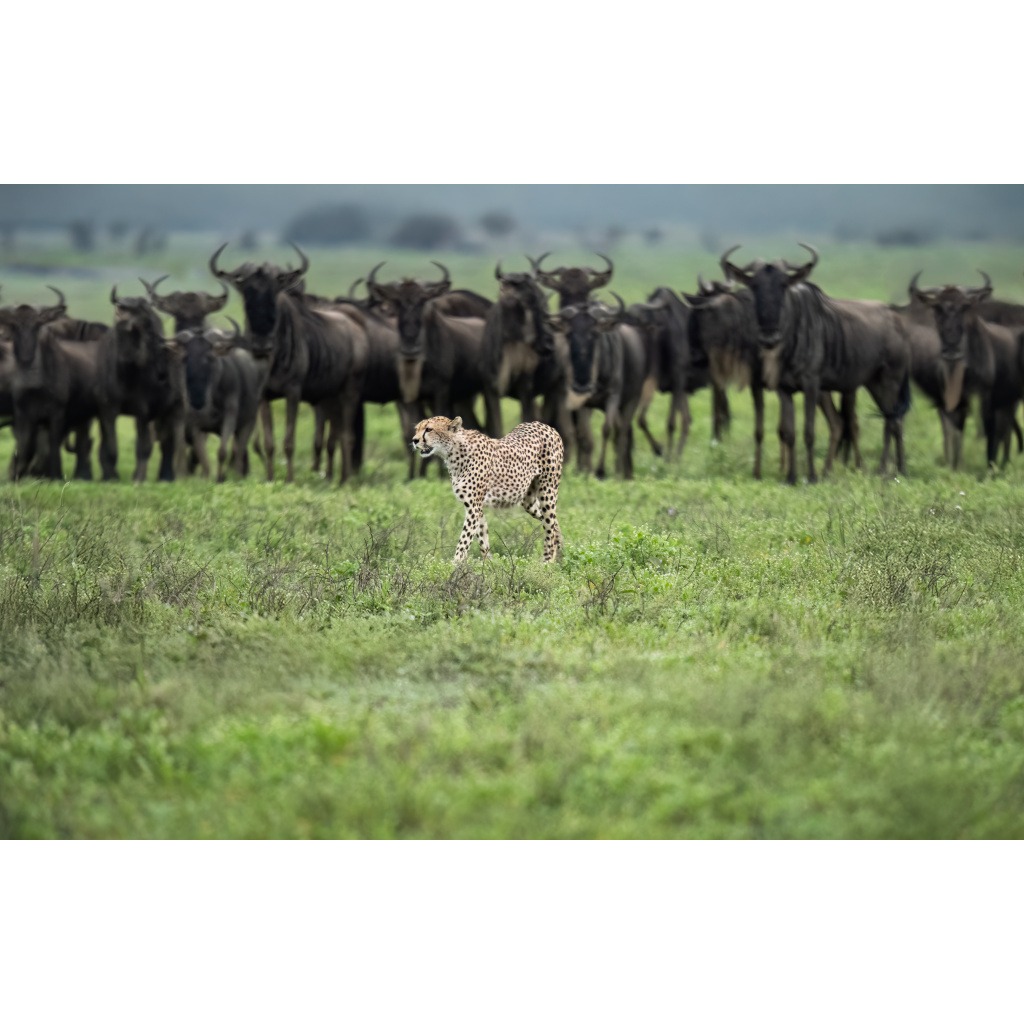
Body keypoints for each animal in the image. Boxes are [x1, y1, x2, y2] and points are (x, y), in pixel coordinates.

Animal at [411, 415, 564, 563]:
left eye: (429, 429)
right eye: (417, 429)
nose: (414, 440)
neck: (453, 452)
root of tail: (545, 426)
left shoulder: (474, 507)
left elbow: (464, 541)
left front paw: (453, 567)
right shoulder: (475, 507)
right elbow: (482, 537)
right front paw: (488, 565)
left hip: (547, 492)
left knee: (549, 526)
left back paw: (548, 562)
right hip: (528, 501)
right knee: (553, 522)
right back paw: (562, 551)